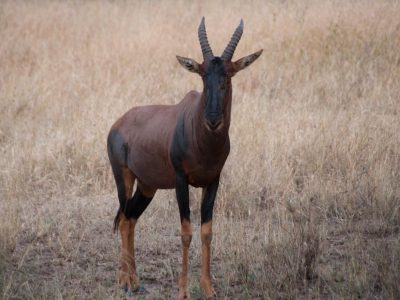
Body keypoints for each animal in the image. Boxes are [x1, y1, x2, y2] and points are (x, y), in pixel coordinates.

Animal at [107, 17, 262, 298]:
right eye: (202, 75)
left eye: (228, 75)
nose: (213, 120)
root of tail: (118, 124)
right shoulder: (181, 180)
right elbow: (186, 232)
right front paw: (183, 291)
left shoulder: (213, 181)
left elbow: (207, 232)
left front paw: (209, 288)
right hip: (123, 177)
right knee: (123, 218)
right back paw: (124, 282)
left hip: (148, 186)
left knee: (131, 219)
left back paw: (135, 281)